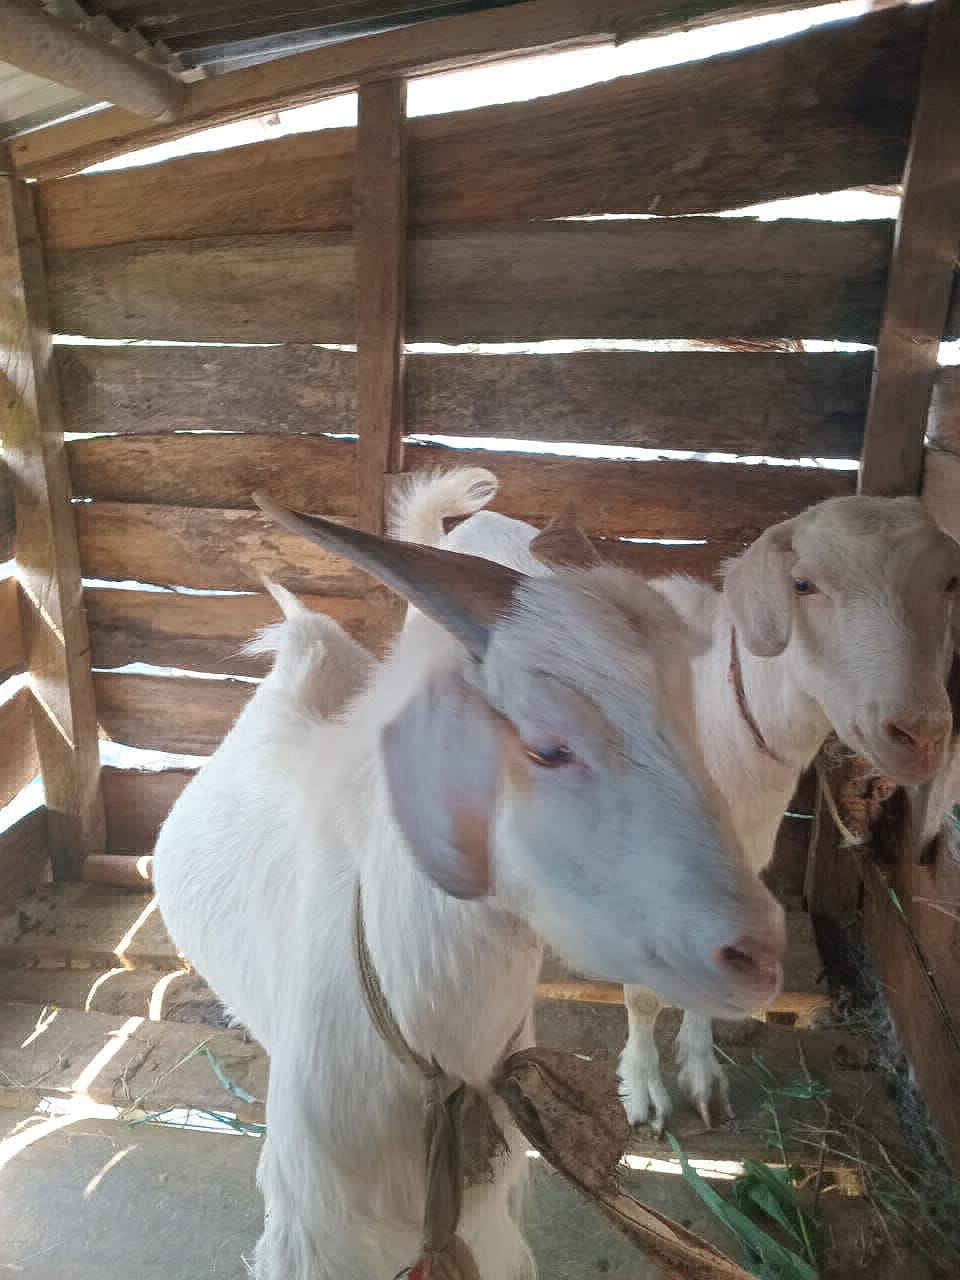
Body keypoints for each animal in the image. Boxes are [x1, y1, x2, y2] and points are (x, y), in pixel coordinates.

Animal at [404, 479, 960, 1133]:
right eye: (803, 584)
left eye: (949, 582)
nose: (920, 735)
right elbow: (646, 993)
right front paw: (644, 1090)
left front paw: (702, 1074)